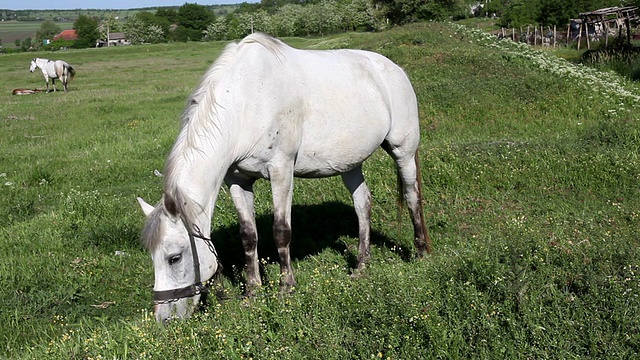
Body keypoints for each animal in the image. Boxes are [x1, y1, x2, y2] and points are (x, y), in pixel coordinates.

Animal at [137, 33, 432, 324]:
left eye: (174, 258)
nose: (164, 320)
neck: (246, 102)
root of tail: (394, 69)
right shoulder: (238, 180)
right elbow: (248, 235)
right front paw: (253, 292)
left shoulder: (281, 171)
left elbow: (281, 231)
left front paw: (285, 289)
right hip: (351, 162)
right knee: (363, 204)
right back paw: (361, 266)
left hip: (403, 151)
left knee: (411, 195)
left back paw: (421, 253)